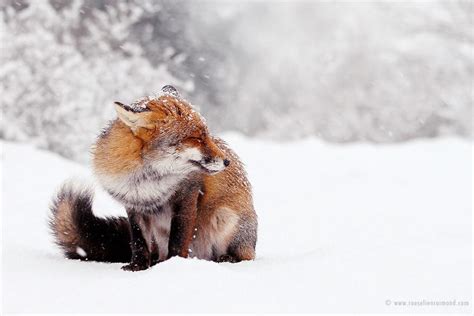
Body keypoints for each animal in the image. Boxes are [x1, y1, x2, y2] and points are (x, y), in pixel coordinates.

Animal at [50, 85, 258, 270]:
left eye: (207, 135)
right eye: (197, 138)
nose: (227, 161)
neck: (148, 181)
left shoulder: (187, 197)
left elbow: (178, 240)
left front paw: (174, 265)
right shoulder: (134, 205)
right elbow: (139, 242)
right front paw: (138, 266)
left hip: (224, 217)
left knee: (245, 257)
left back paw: (227, 258)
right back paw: (157, 262)